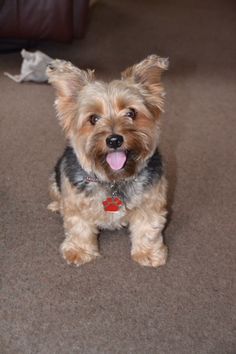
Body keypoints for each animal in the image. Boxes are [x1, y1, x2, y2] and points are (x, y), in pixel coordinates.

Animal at [46, 54, 168, 266]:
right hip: (54, 180)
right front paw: (79, 250)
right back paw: (56, 206)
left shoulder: (151, 199)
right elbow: (78, 226)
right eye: (93, 118)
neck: (114, 180)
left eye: (131, 113)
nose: (114, 140)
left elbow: (148, 227)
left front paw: (148, 253)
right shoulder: (76, 202)